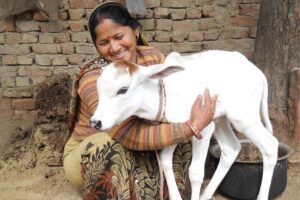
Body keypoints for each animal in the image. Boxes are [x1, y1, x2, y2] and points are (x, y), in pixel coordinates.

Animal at [90, 50, 278, 200]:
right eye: (98, 89)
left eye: (123, 89)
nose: (96, 122)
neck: (166, 93)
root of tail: (257, 72)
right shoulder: (175, 129)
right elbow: (165, 161)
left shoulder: (203, 129)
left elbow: (195, 173)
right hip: (221, 120)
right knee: (232, 148)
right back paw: (205, 195)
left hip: (244, 118)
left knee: (270, 145)